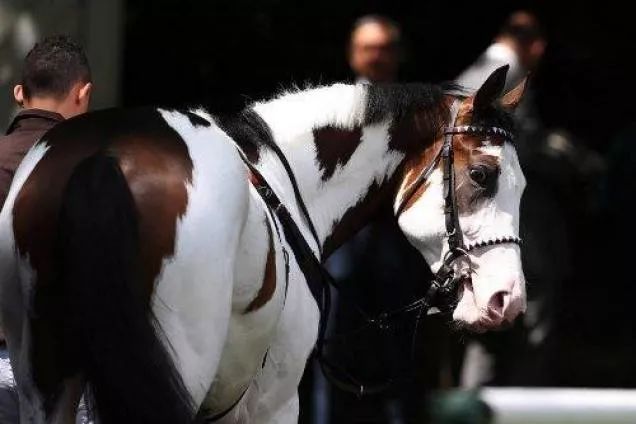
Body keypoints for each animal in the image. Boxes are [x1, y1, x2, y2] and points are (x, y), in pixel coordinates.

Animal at [0, 64, 528, 422]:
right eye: (482, 175)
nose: (508, 300)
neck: (283, 179)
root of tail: (106, 155)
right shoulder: (273, 401)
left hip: (44, 381)